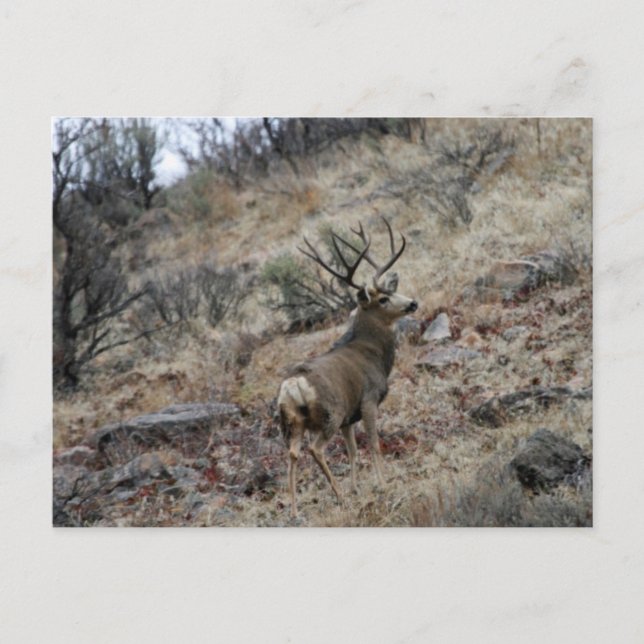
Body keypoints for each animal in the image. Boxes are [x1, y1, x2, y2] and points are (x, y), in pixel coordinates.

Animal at [277, 218, 418, 518]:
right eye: (382, 299)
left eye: (392, 289)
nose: (413, 303)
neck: (372, 353)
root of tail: (294, 385)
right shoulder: (367, 400)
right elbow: (374, 444)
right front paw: (382, 483)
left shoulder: (348, 420)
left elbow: (353, 451)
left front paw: (356, 487)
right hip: (330, 413)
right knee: (315, 449)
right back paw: (338, 495)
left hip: (294, 422)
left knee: (293, 453)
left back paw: (295, 510)